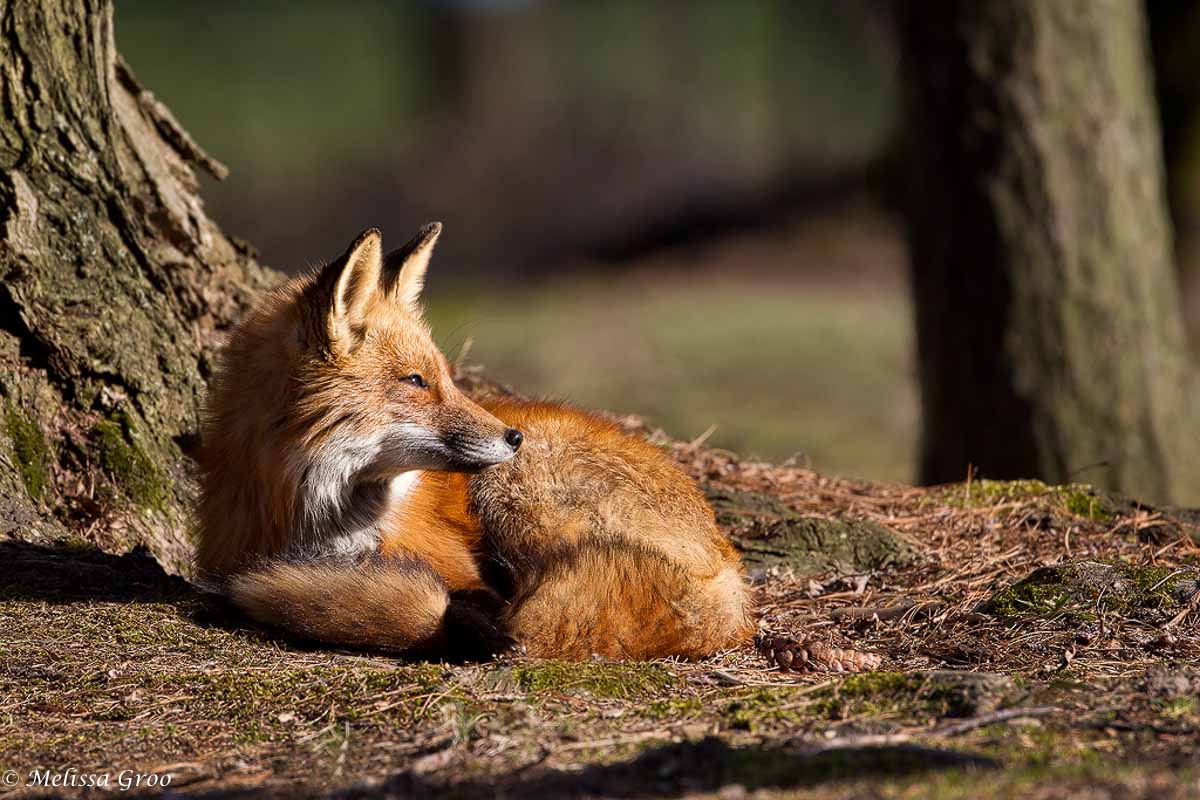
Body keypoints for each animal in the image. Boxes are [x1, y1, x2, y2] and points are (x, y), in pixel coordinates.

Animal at [196, 223, 878, 671]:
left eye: (447, 376)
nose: (510, 436)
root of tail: (727, 564)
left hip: (513, 496)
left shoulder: (460, 567)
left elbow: (458, 605)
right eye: (416, 382)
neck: (326, 525)